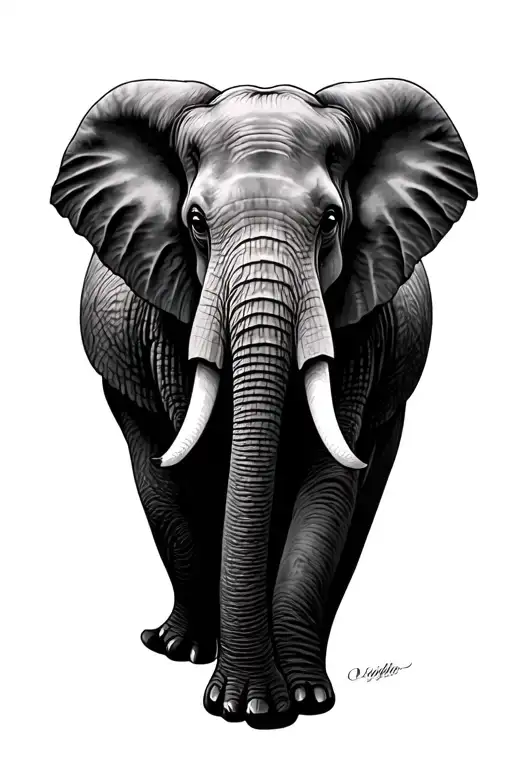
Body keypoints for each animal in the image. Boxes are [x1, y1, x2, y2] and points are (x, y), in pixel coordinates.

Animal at [51, 78, 477, 729]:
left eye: (331, 221)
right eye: (195, 222)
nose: (252, 707)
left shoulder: (362, 326)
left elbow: (329, 479)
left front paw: (292, 701)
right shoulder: (168, 317)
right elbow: (202, 465)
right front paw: (242, 702)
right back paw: (179, 647)